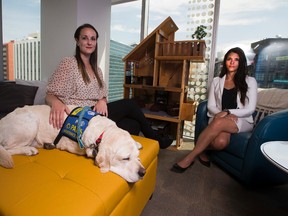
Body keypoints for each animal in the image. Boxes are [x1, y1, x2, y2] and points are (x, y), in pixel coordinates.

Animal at [0, 104, 145, 182]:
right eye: (125, 158)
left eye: (138, 157)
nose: (143, 172)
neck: (103, 131)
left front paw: (137, 142)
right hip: (30, 124)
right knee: (6, 148)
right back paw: (28, 150)